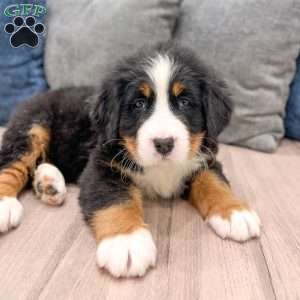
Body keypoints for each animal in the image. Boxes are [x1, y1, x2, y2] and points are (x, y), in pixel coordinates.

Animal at [0, 43, 260, 278]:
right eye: (139, 104)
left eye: (185, 102)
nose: (164, 143)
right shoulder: (102, 165)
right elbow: (116, 199)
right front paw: (126, 241)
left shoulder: (204, 158)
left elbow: (214, 182)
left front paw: (234, 211)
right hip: (33, 127)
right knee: (12, 164)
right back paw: (7, 203)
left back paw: (48, 183)